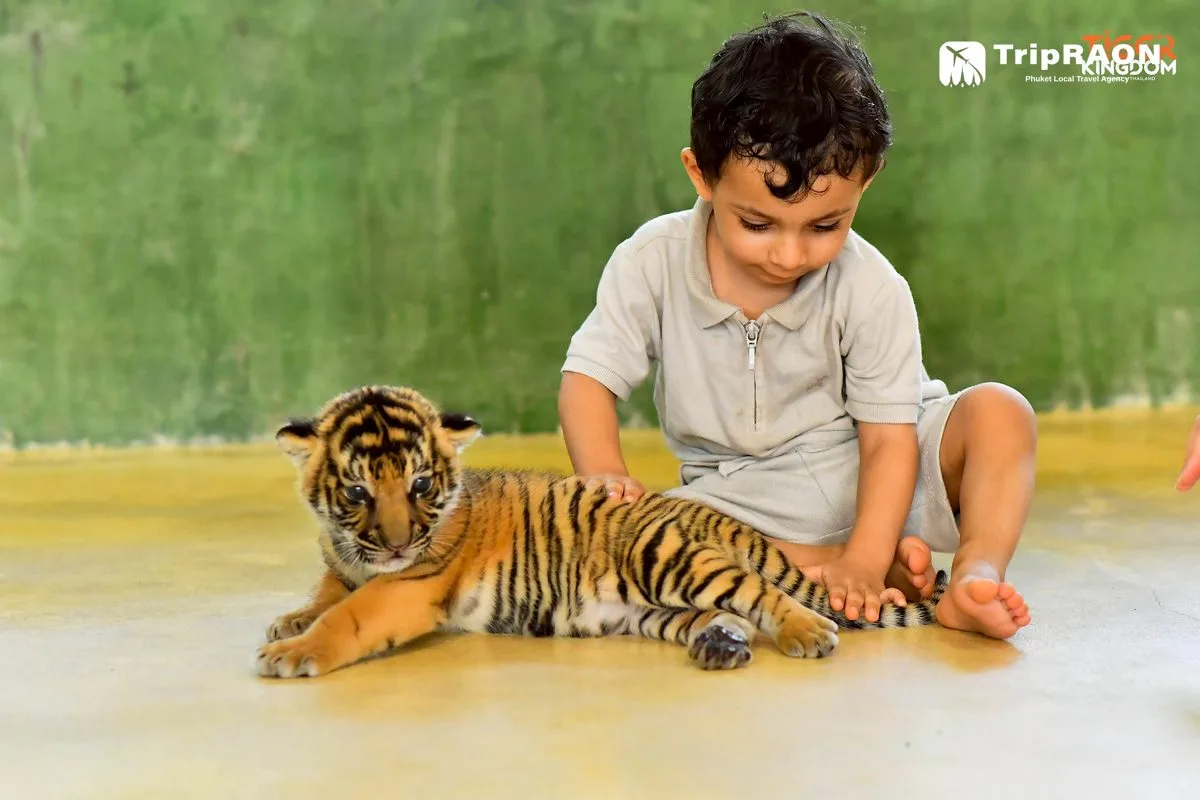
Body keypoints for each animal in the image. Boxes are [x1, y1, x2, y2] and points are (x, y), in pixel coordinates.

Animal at [256, 384, 947, 678]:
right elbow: (328, 590)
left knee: (759, 591)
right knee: (722, 614)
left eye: (421, 485)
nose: (398, 543)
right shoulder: (344, 559)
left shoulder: (410, 583)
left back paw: (808, 632)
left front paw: (294, 651)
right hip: (647, 611)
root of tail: (704, 514)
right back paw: (720, 647)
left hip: (662, 557)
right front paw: (293, 620)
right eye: (357, 492)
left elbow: (353, 616)